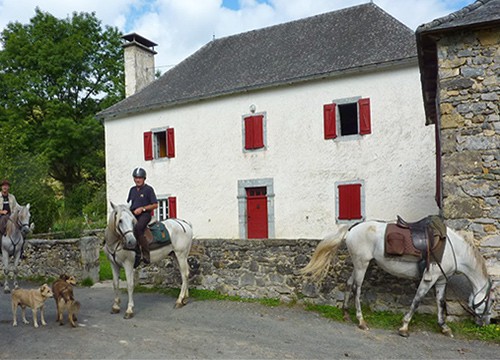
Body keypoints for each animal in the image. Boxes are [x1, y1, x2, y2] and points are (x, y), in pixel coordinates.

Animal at [300, 219, 496, 338]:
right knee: (357, 288)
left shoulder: (440, 280)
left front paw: (444, 327)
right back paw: (361, 321)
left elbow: (441, 303)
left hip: (358, 264)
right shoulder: (429, 278)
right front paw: (404, 327)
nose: (487, 323)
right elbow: (417, 301)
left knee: (349, 284)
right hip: (362, 264)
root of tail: (354, 227)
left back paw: (346, 314)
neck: (453, 249)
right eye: (493, 301)